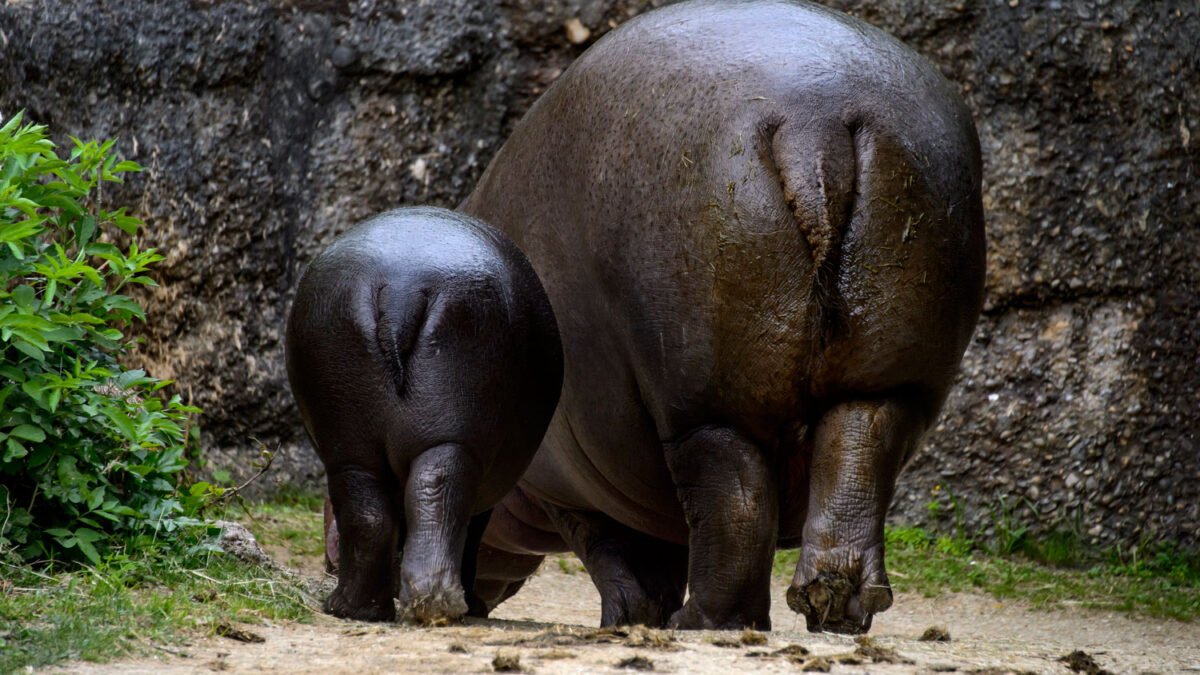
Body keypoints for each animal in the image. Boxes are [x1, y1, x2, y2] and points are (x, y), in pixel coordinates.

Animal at [286, 207, 561, 624]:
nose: (327, 561)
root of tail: (401, 289)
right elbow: (469, 537)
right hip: (449, 437)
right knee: (438, 496)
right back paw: (436, 606)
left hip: (353, 443)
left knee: (372, 511)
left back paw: (357, 608)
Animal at [458, 0, 984, 629]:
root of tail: (813, 119)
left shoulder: (568, 489)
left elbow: (623, 564)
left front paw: (627, 623)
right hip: (893, 374)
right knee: (858, 455)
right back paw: (834, 604)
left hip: (703, 400)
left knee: (738, 504)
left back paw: (705, 623)